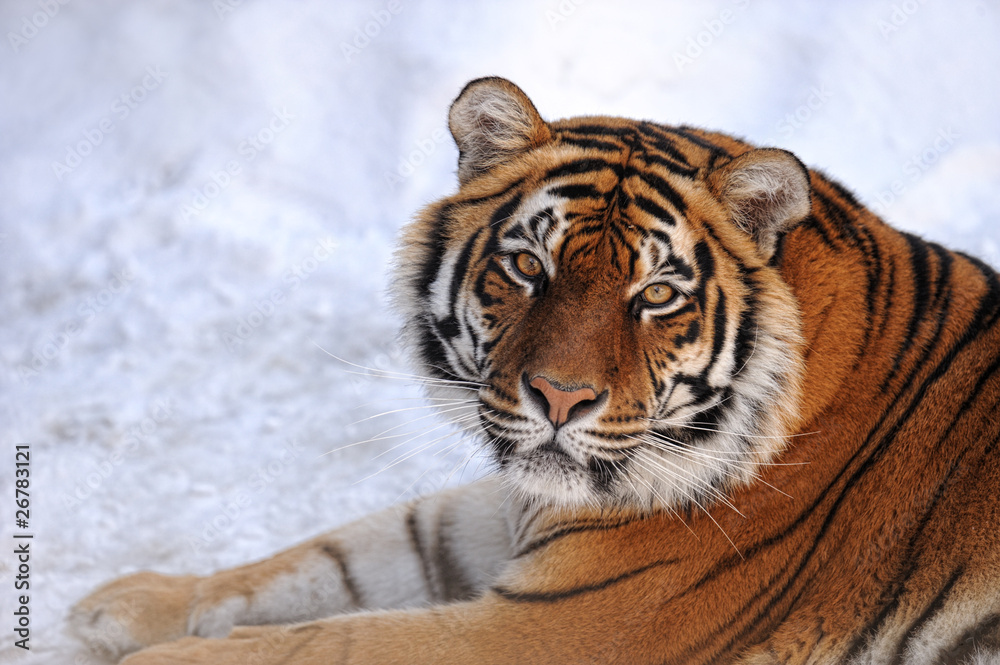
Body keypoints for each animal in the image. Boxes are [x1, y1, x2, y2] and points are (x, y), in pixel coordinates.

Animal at [71, 77, 1000, 665]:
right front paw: (123, 603)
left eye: (657, 294)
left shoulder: (557, 627)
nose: (560, 397)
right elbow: (341, 553)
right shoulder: (517, 508)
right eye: (528, 266)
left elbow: (330, 639)